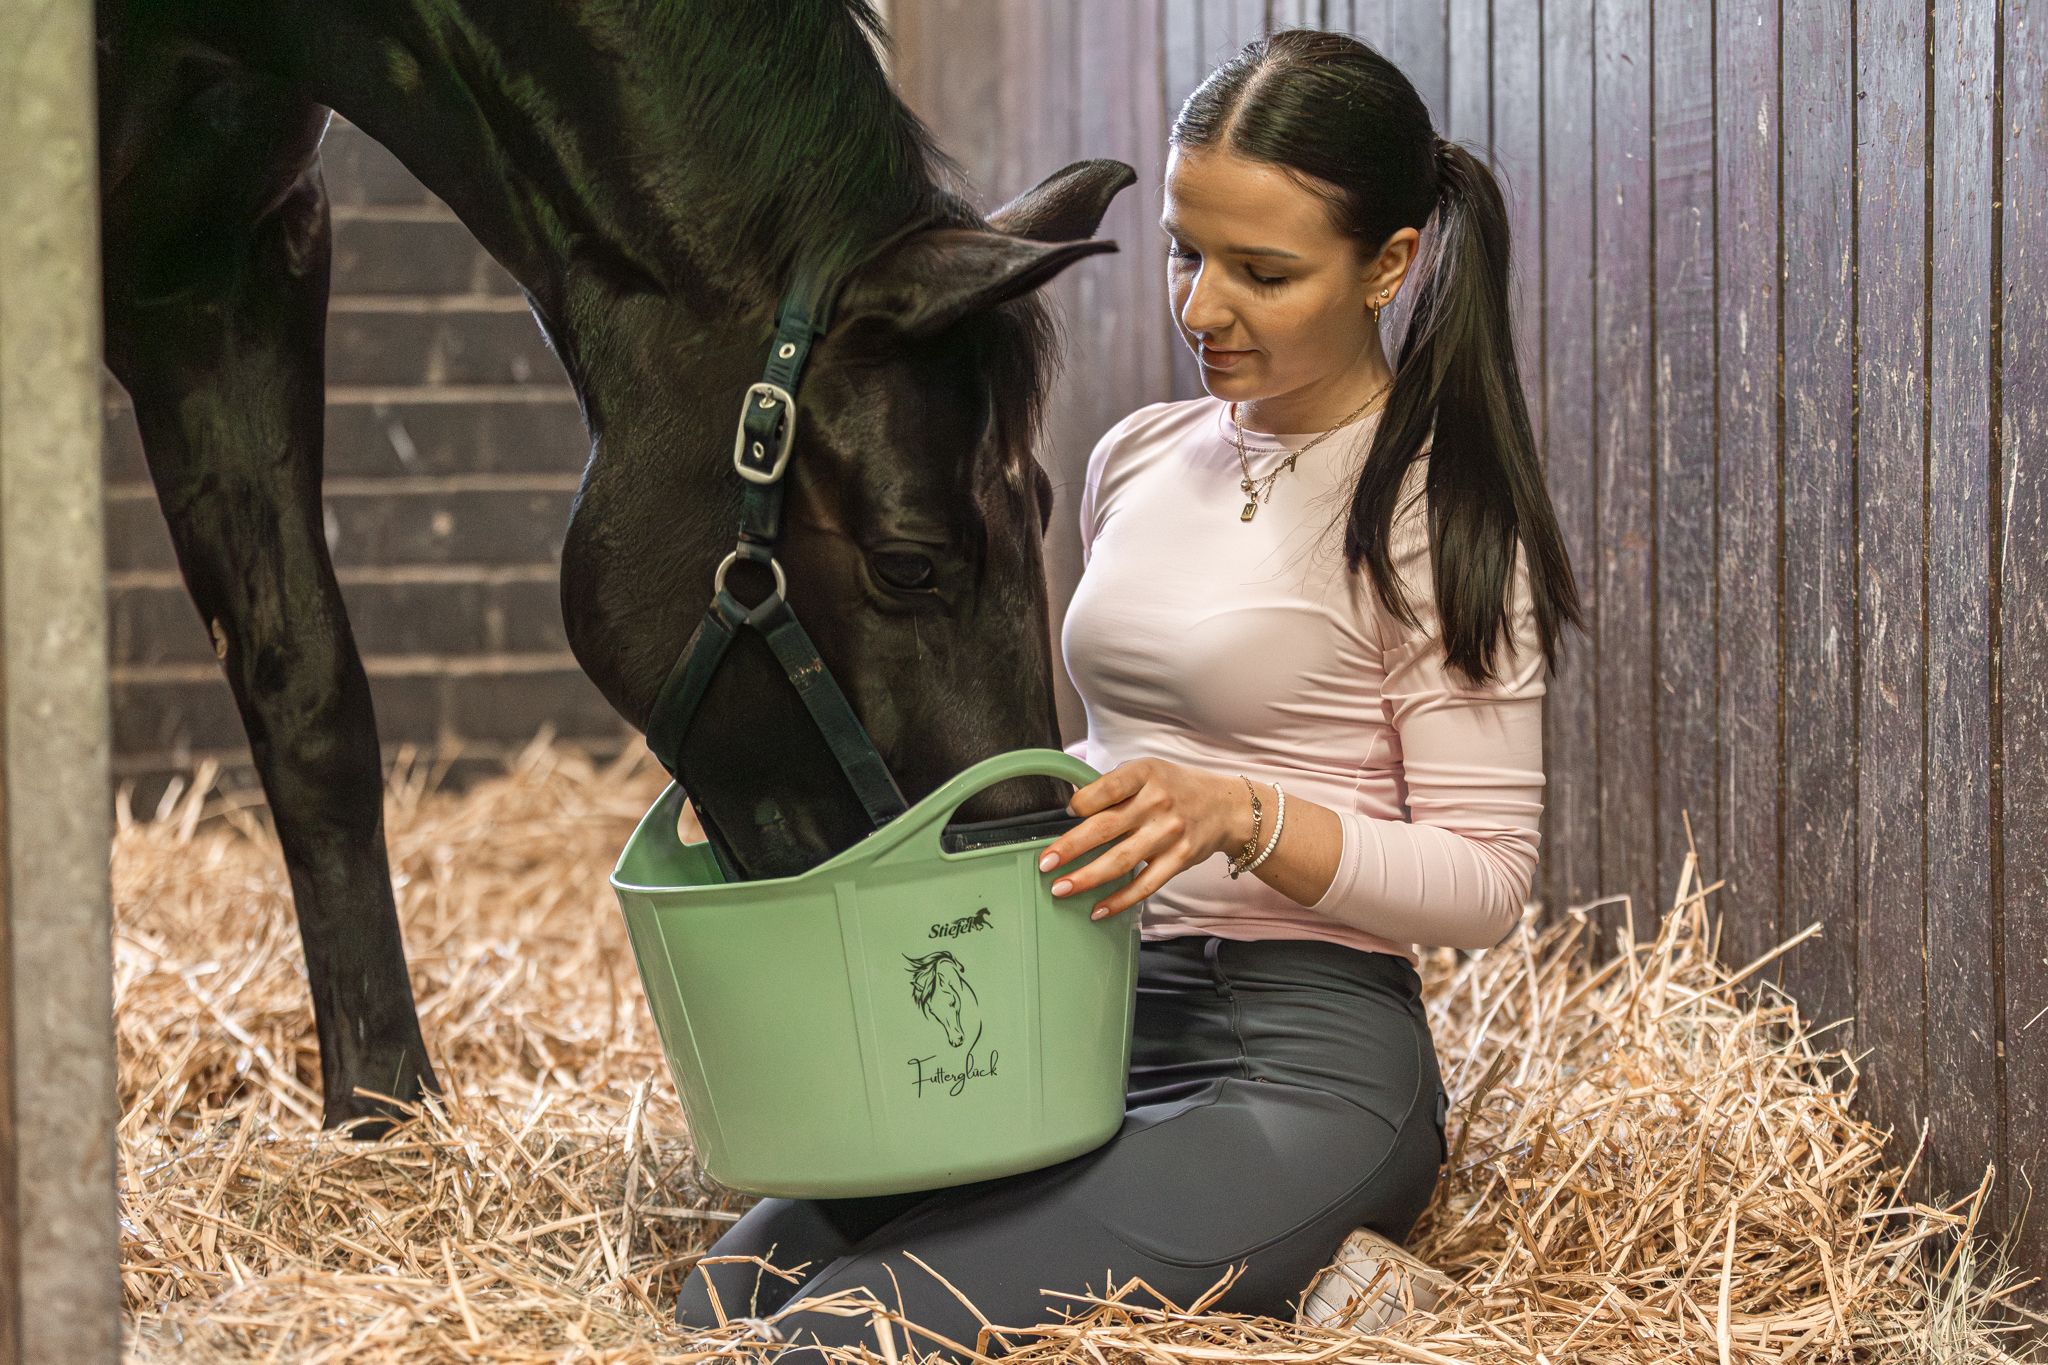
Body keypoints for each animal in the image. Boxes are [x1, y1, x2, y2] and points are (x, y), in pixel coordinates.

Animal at [96, 0, 1136, 1131]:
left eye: (1047, 508)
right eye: (909, 564)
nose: (1019, 850)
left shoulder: (225, 267)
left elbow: (310, 704)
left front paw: (383, 1106)